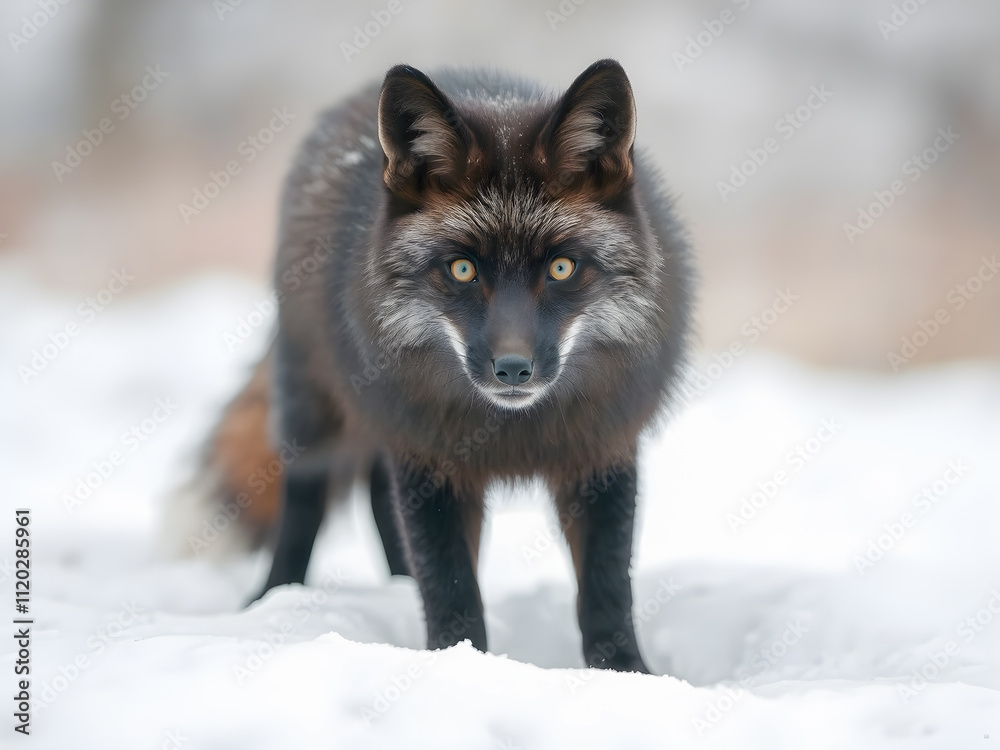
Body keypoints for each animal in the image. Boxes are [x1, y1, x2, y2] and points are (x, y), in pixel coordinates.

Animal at [184, 59, 692, 673]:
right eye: (463, 269)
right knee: (307, 498)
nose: (513, 369)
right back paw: (275, 598)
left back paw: (395, 589)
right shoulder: (430, 455)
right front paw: (458, 662)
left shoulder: (601, 449)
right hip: (317, 409)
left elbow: (607, 586)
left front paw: (626, 674)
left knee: (379, 497)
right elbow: (450, 585)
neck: (515, 436)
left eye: (562, 268)